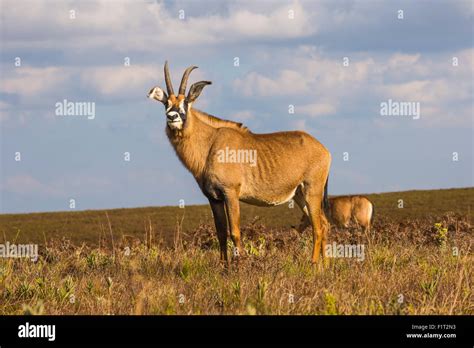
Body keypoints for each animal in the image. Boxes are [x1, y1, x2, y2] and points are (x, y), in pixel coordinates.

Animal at [147, 61, 330, 264]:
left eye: (185, 102)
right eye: (166, 103)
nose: (172, 117)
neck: (210, 143)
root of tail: (324, 150)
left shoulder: (231, 193)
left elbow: (234, 232)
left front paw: (240, 265)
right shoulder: (214, 198)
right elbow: (221, 233)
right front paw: (224, 267)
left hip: (312, 190)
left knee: (318, 227)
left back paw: (313, 264)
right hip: (299, 195)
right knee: (324, 224)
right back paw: (325, 266)